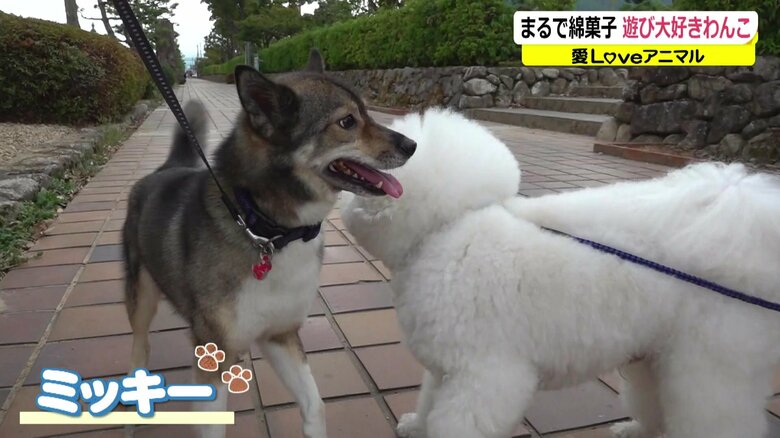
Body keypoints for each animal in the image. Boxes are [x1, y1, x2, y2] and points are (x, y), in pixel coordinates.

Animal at [122, 49, 416, 438]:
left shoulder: (281, 334)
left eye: (367, 112)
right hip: (141, 295)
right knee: (139, 345)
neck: (269, 231)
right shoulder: (215, 355)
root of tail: (164, 169)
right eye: (347, 122)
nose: (412, 145)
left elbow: (315, 406)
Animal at [341, 108, 780, 438]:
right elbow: (429, 399)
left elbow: (461, 422)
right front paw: (416, 426)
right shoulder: (447, 368)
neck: (445, 229)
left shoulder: (484, 373)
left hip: (712, 366)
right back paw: (635, 429)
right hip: (661, 354)